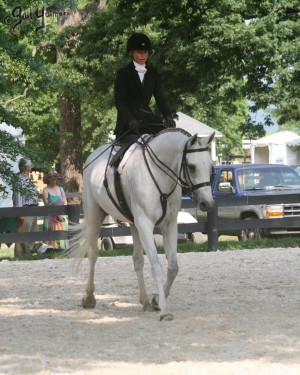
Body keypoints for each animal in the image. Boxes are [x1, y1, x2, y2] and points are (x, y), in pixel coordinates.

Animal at [69, 130, 216, 324]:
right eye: (191, 167)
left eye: (210, 167)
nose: (207, 203)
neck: (160, 176)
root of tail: (93, 156)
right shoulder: (145, 224)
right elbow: (156, 266)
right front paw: (164, 310)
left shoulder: (169, 225)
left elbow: (173, 267)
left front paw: (156, 300)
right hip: (95, 216)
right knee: (93, 254)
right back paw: (89, 298)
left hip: (133, 225)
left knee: (137, 259)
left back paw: (145, 301)